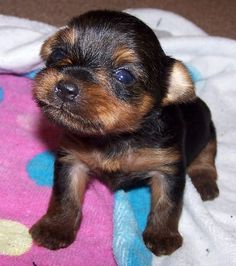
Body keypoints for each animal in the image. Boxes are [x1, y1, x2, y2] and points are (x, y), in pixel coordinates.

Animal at [29, 9, 219, 256]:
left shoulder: (168, 169)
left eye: (124, 76)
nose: (65, 88)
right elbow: (65, 196)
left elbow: (167, 204)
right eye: (59, 52)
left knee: (208, 154)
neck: (115, 136)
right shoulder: (71, 160)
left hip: (208, 126)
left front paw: (162, 235)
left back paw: (205, 182)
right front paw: (56, 227)